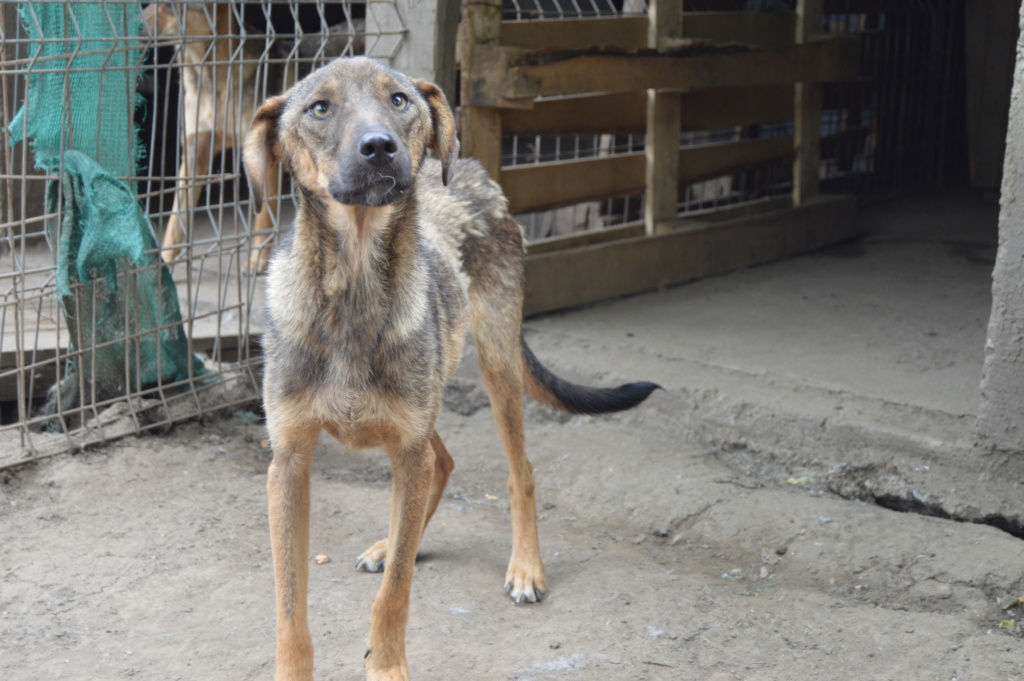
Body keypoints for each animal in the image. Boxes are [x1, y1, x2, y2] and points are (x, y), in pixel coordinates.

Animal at [242, 58, 655, 679]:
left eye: (399, 100)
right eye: (319, 108)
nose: (379, 147)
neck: (355, 287)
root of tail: (475, 170)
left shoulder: (405, 444)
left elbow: (395, 594)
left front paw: (388, 667)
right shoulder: (289, 463)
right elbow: (290, 608)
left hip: (496, 365)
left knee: (518, 471)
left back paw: (524, 567)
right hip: (423, 406)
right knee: (442, 463)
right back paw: (392, 543)